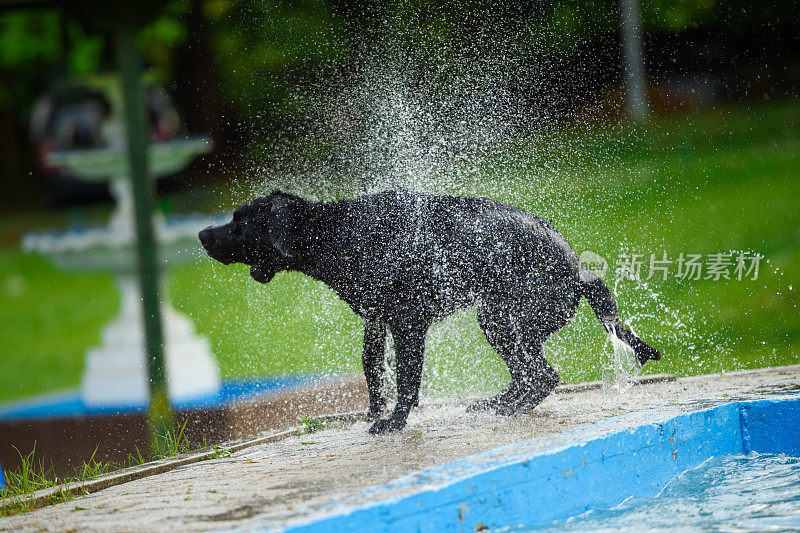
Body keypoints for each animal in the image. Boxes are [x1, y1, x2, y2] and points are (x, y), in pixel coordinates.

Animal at [197, 190, 660, 432]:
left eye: (239, 223)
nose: (202, 233)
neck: (337, 234)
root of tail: (580, 268)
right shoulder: (376, 319)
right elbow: (372, 368)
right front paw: (374, 411)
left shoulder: (408, 323)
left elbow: (406, 380)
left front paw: (393, 422)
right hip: (505, 322)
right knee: (530, 375)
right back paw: (494, 404)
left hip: (499, 318)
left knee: (543, 376)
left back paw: (507, 409)